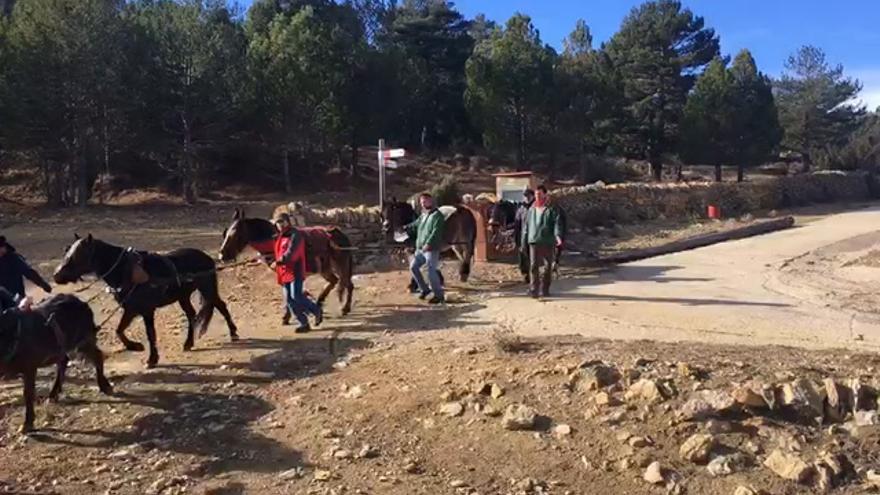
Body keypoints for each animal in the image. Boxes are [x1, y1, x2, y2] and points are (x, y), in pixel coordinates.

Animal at [0, 294, 113, 434]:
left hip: (82, 341)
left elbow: (28, 393)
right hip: (64, 346)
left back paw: (105, 386)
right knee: (63, 362)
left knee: (97, 356)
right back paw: (53, 394)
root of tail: (81, 302)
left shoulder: (29, 367)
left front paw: (27, 424)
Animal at [53, 233, 239, 368]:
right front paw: (135, 347)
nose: (56, 276)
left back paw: (234, 333)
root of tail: (207, 258)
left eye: (77, 255)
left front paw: (152, 359)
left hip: (208, 290)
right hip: (183, 296)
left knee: (221, 306)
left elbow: (150, 334)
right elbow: (119, 330)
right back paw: (188, 343)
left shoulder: (146, 310)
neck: (127, 272)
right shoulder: (130, 309)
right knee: (192, 314)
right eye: (66, 252)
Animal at [217, 208, 354, 318]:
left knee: (345, 283)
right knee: (336, 281)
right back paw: (320, 303)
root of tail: (339, 233)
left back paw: (343, 308)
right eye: (225, 233)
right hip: (326, 267)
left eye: (235, 234)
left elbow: (289, 295)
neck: (274, 241)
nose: (221, 256)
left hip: (340, 264)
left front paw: (288, 316)